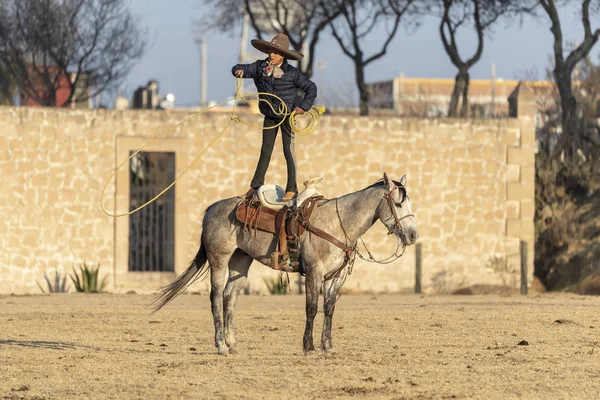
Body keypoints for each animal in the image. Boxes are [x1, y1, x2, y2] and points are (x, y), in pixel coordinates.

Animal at [152, 173, 420, 354]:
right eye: (397, 203)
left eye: (409, 203)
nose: (412, 235)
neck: (338, 222)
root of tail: (211, 209)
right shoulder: (314, 272)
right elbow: (311, 307)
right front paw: (309, 346)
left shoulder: (336, 277)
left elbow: (329, 308)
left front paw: (328, 346)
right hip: (219, 260)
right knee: (216, 297)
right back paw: (220, 345)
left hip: (241, 262)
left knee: (230, 298)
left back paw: (232, 343)